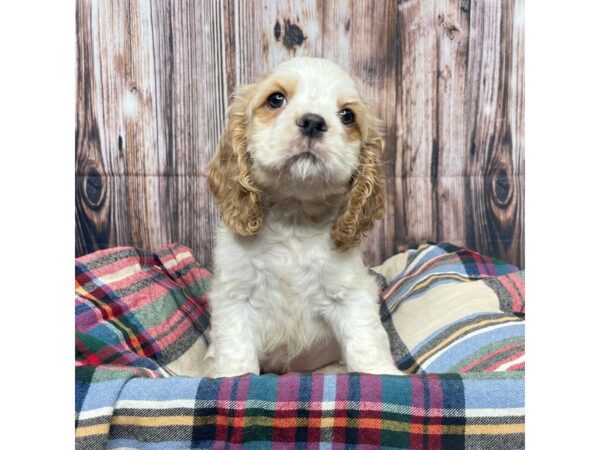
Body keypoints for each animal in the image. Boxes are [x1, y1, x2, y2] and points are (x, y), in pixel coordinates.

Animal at [206, 58, 404, 378]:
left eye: (347, 115)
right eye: (275, 99)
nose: (313, 122)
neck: (294, 213)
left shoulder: (350, 293)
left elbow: (366, 340)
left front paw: (382, 374)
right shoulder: (235, 296)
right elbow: (236, 352)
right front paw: (233, 377)